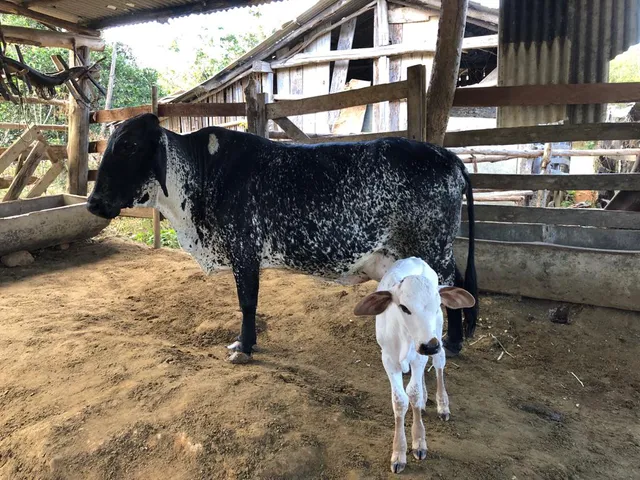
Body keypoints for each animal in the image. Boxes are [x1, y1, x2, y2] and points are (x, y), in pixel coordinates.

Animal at [87, 113, 478, 363]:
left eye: (129, 146)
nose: (92, 202)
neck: (202, 173)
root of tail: (448, 157)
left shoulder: (244, 250)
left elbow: (247, 303)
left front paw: (244, 347)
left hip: (432, 248)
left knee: (452, 285)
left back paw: (451, 343)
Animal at [353, 256, 475, 473]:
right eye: (404, 307)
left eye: (438, 304)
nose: (429, 345)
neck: (404, 336)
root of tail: (414, 258)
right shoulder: (388, 359)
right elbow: (400, 400)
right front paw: (399, 453)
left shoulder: (421, 355)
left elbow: (414, 394)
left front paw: (419, 441)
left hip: (438, 335)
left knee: (439, 364)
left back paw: (442, 404)